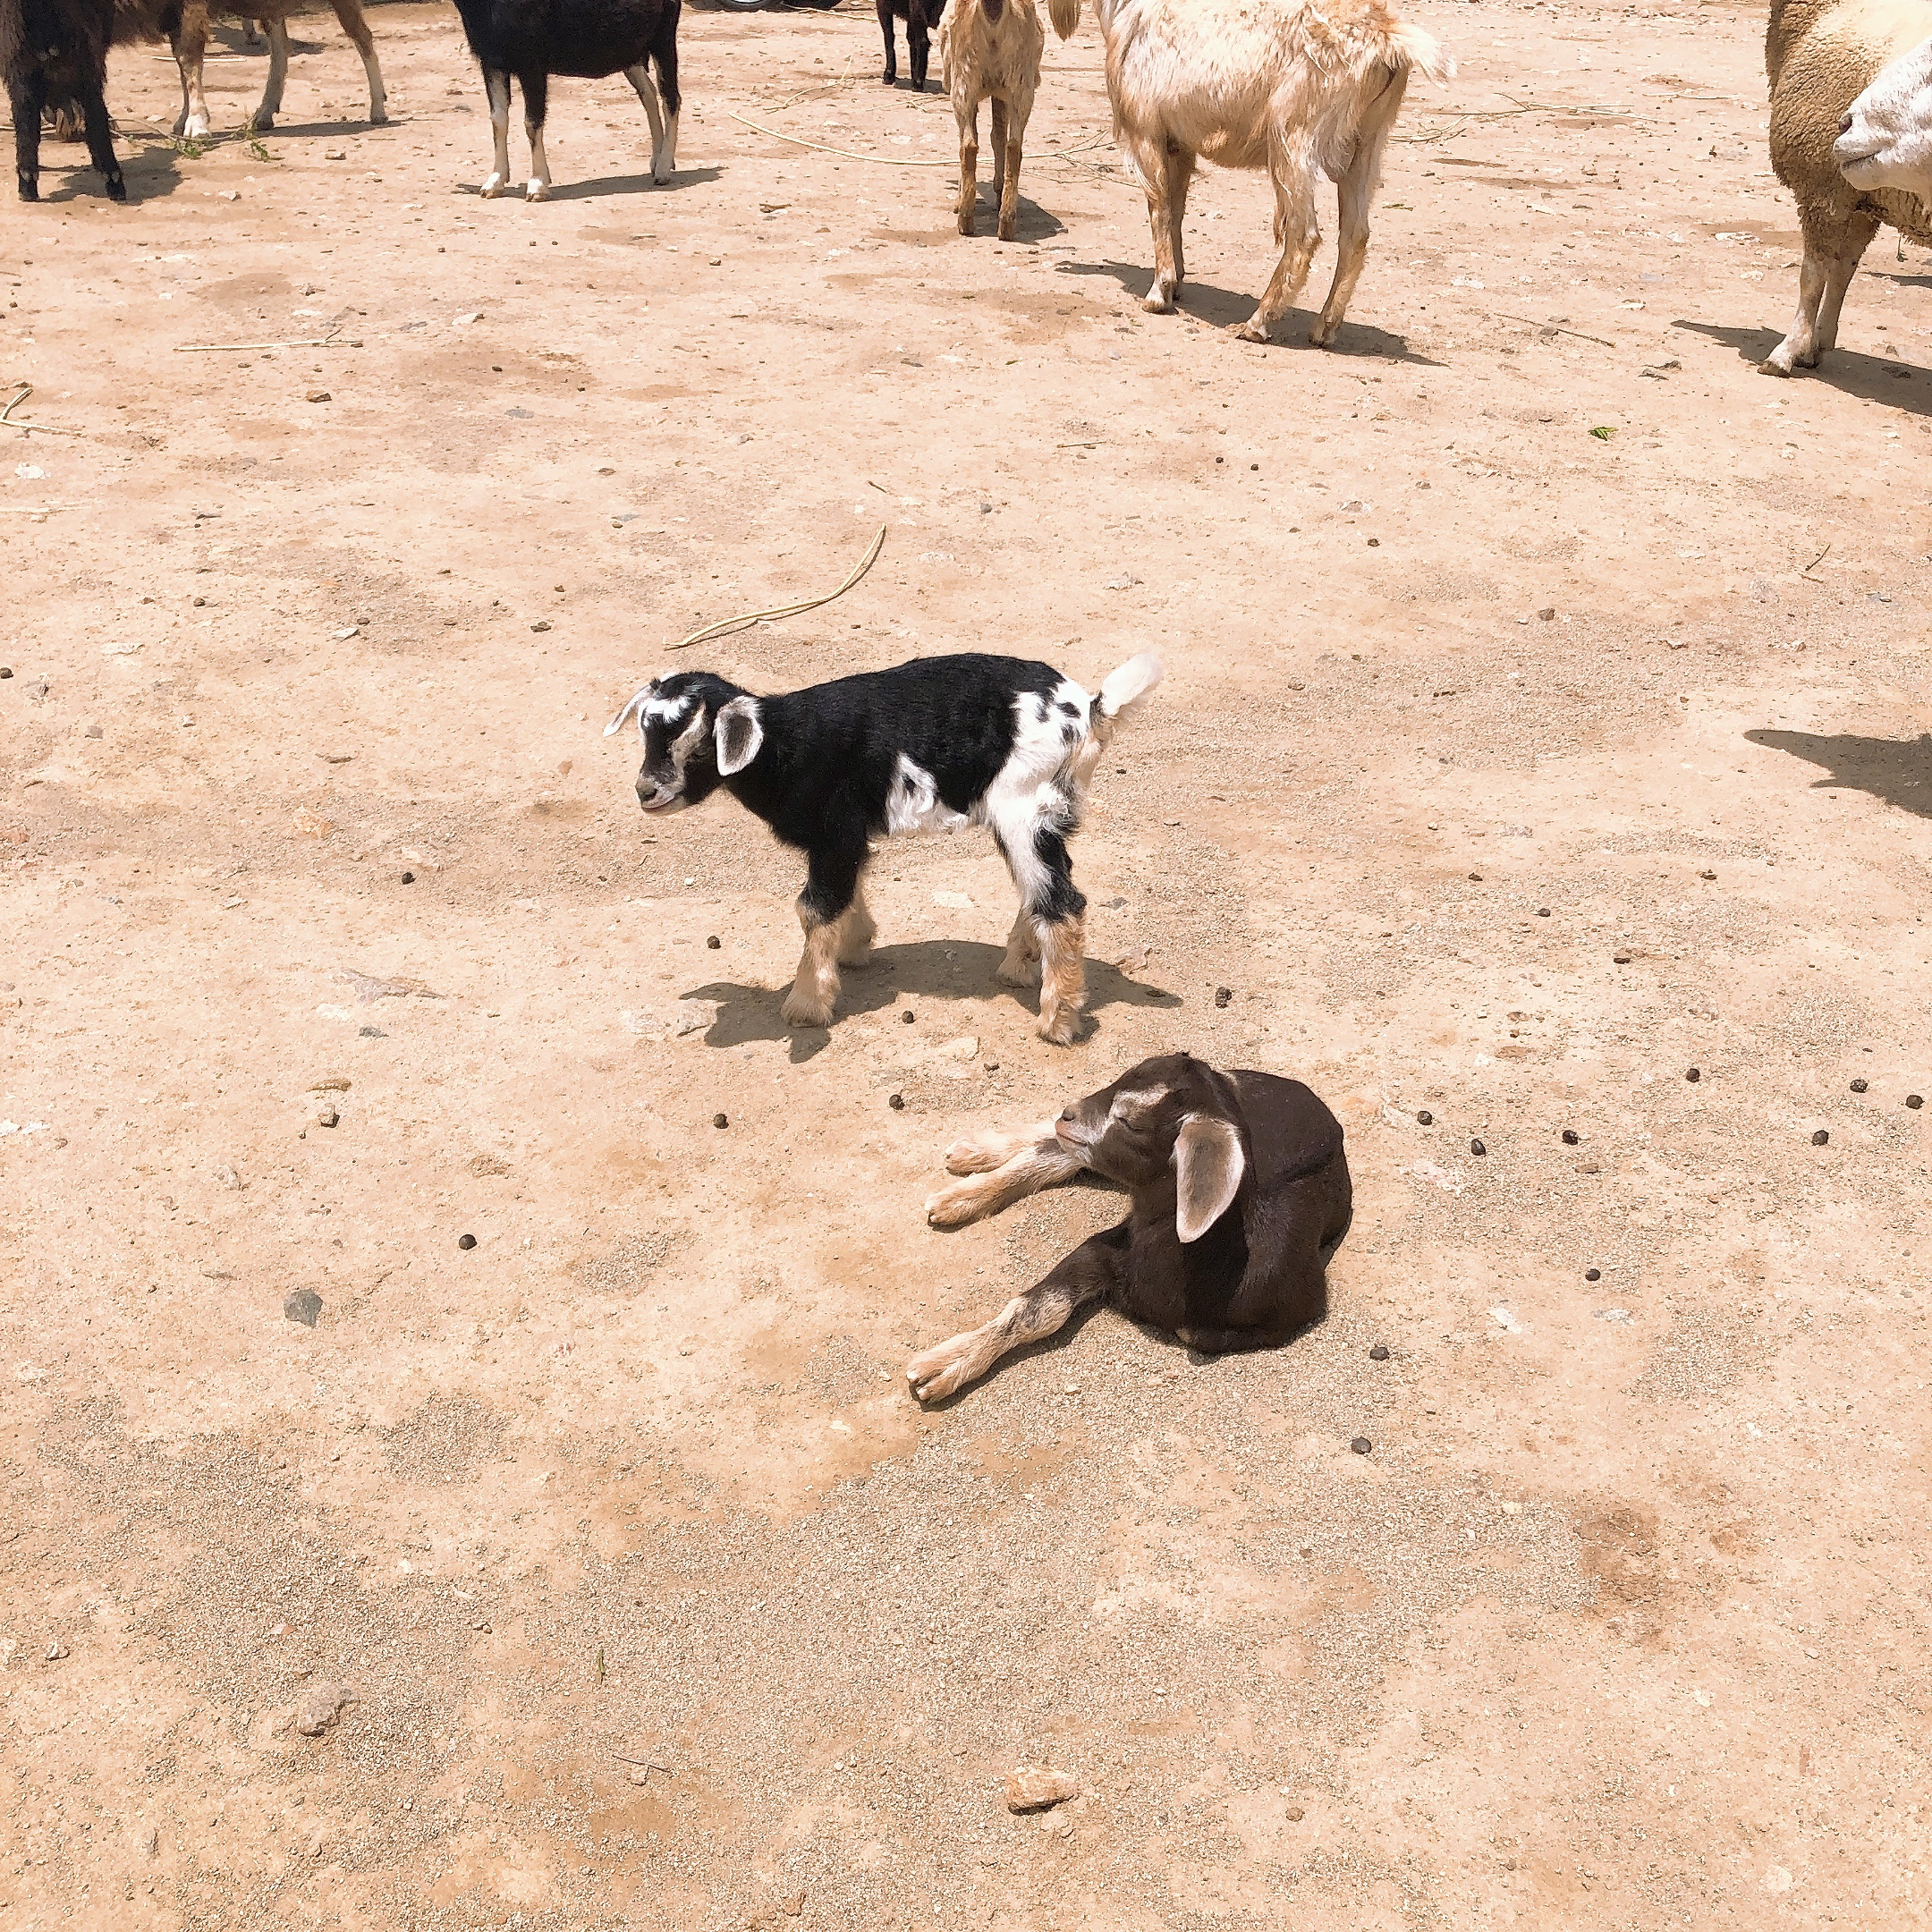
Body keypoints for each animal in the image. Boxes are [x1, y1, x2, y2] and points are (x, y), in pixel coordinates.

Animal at [451, 0, 680, 202]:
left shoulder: (532, 65)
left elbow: (532, 122)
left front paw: (538, 185)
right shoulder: (492, 63)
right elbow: (498, 120)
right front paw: (494, 182)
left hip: (664, 40)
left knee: (671, 99)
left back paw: (663, 170)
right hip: (631, 55)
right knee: (648, 93)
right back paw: (656, 160)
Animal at [604, 650, 1162, 1044]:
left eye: (699, 745)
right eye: (645, 734)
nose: (646, 791)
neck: (786, 746)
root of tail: (1089, 712)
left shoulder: (833, 833)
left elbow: (814, 907)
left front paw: (806, 1005)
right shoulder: (846, 840)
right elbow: (845, 893)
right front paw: (854, 948)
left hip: (1025, 806)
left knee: (1062, 902)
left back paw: (1056, 1023)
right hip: (1033, 811)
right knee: (1042, 888)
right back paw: (1018, 968)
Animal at [906, 1052, 1353, 1400]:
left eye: (1133, 1123)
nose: (1069, 1113)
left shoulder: (1291, 1309)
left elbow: (1190, 1332)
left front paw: (941, 1369)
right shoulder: (1104, 1248)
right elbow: (1037, 1310)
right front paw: (941, 1366)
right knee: (1058, 1150)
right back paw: (968, 1169)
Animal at [942, 0, 1079, 241]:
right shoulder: (1001, 93)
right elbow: (997, 135)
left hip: (964, 79)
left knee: (968, 145)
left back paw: (965, 220)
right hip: (1020, 85)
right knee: (1014, 148)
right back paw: (1006, 220)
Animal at [1092, 0, 1450, 343]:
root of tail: (1386, 35)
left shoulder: (1146, 130)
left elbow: (1159, 208)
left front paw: (1158, 295)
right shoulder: (1179, 142)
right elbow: (1176, 209)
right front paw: (1177, 283)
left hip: (1294, 136)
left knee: (1305, 233)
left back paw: (1258, 322)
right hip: (1367, 142)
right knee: (1355, 234)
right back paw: (1324, 328)